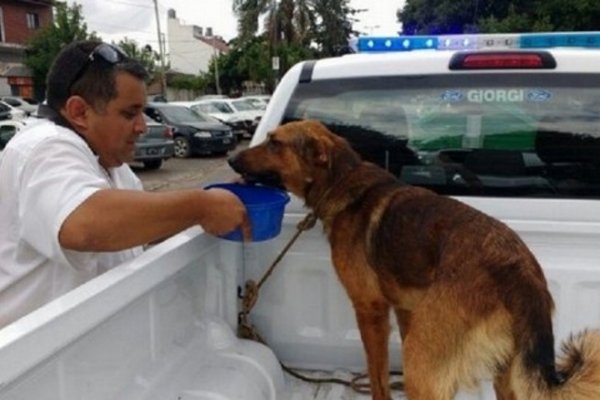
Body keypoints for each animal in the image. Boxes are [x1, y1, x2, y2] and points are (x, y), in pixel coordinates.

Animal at [226, 119, 600, 400]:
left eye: (274, 143)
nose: (231, 160)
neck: (342, 183)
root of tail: (518, 270)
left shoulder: (370, 312)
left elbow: (377, 377)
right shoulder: (405, 310)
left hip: (422, 363)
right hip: (504, 375)